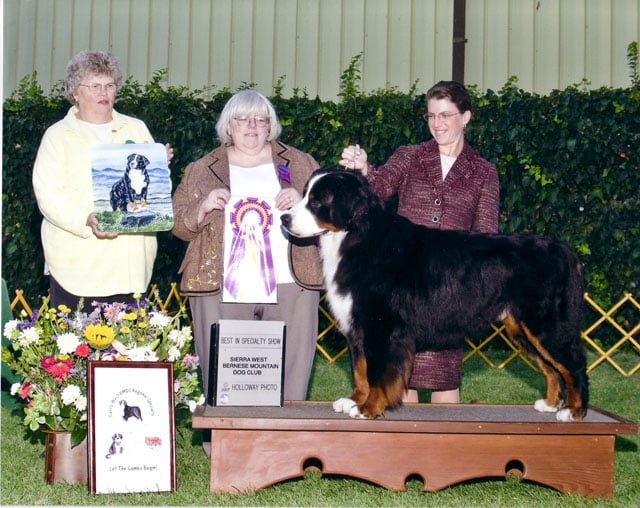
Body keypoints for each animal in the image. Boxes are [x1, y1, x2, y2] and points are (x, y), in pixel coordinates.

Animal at [282, 169, 588, 422]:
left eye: (318, 202)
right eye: (305, 194)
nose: (284, 218)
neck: (356, 237)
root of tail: (563, 249)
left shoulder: (381, 326)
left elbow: (377, 371)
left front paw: (368, 408)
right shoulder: (357, 326)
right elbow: (360, 369)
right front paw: (354, 401)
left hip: (546, 324)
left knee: (573, 366)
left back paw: (574, 411)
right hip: (522, 329)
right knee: (551, 368)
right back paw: (550, 404)